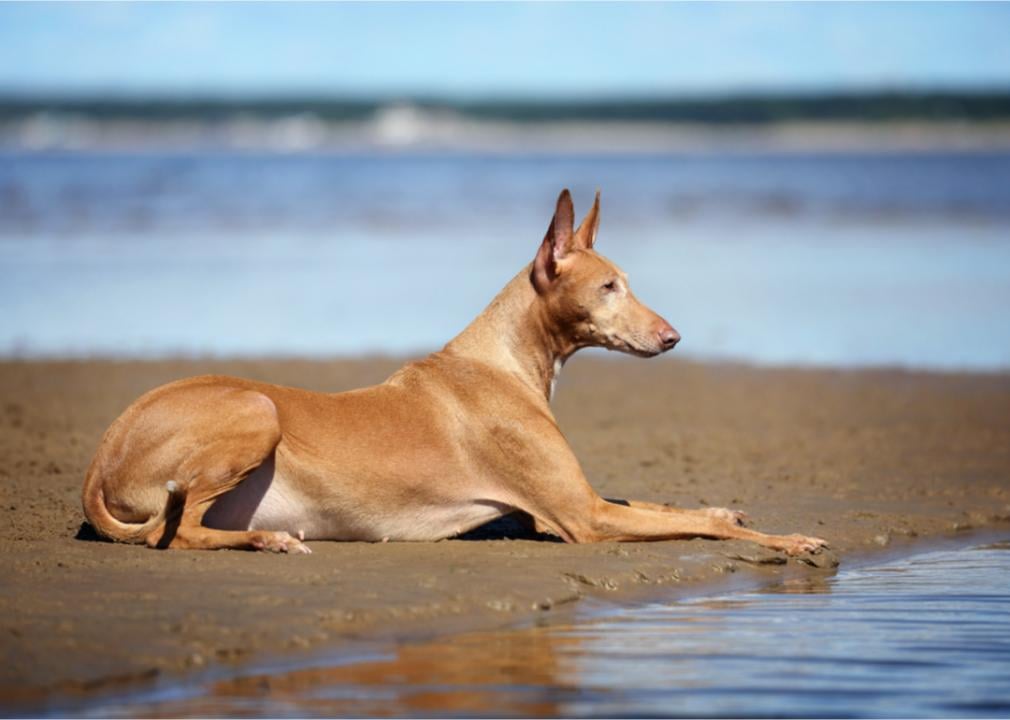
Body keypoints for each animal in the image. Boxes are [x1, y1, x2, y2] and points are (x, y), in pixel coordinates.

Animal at [82, 189, 828, 557]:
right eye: (610, 287)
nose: (673, 338)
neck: (504, 362)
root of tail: (103, 451)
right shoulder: (579, 518)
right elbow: (709, 529)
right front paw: (787, 540)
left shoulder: (581, 501)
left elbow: (669, 506)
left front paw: (723, 505)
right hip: (257, 411)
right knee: (175, 532)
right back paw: (267, 539)